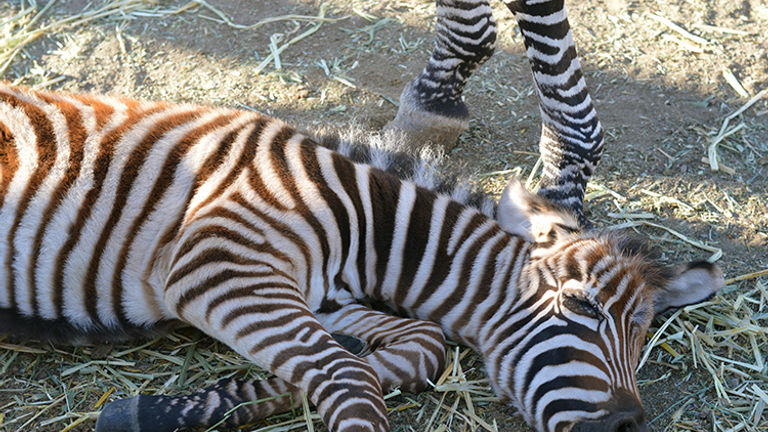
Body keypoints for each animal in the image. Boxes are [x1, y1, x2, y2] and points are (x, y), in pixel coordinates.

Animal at [0, 83, 722, 432]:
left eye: (642, 335)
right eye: (580, 307)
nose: (628, 426)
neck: (362, 225)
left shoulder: (324, 297)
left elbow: (413, 346)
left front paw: (160, 412)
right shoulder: (218, 267)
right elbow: (347, 376)